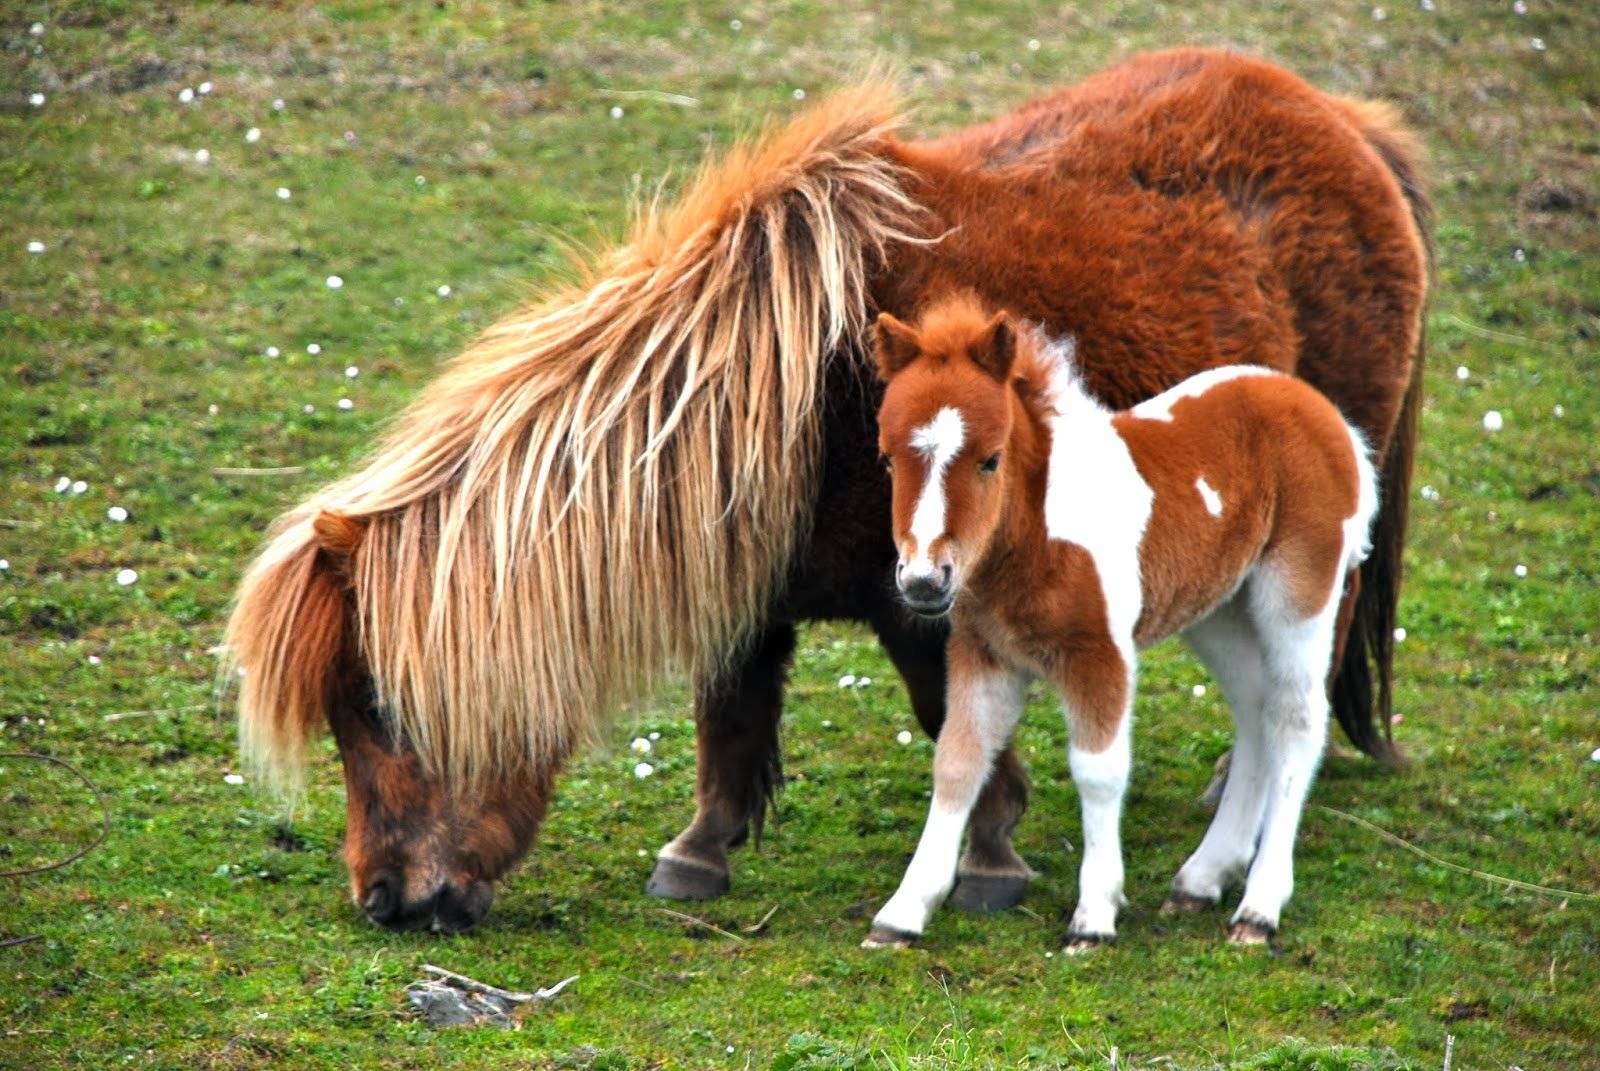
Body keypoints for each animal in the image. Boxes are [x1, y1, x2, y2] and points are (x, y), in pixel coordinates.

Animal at [864, 296, 1376, 947]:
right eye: (886, 458)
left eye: (990, 459)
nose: (925, 582)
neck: (1036, 534)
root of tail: (1329, 416)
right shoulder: (985, 655)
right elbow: (958, 762)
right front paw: (903, 912)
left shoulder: (1099, 654)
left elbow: (1099, 771)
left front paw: (1094, 916)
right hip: (1218, 611)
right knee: (1254, 710)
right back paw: (1202, 878)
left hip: (1298, 594)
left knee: (1295, 719)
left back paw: (1259, 907)